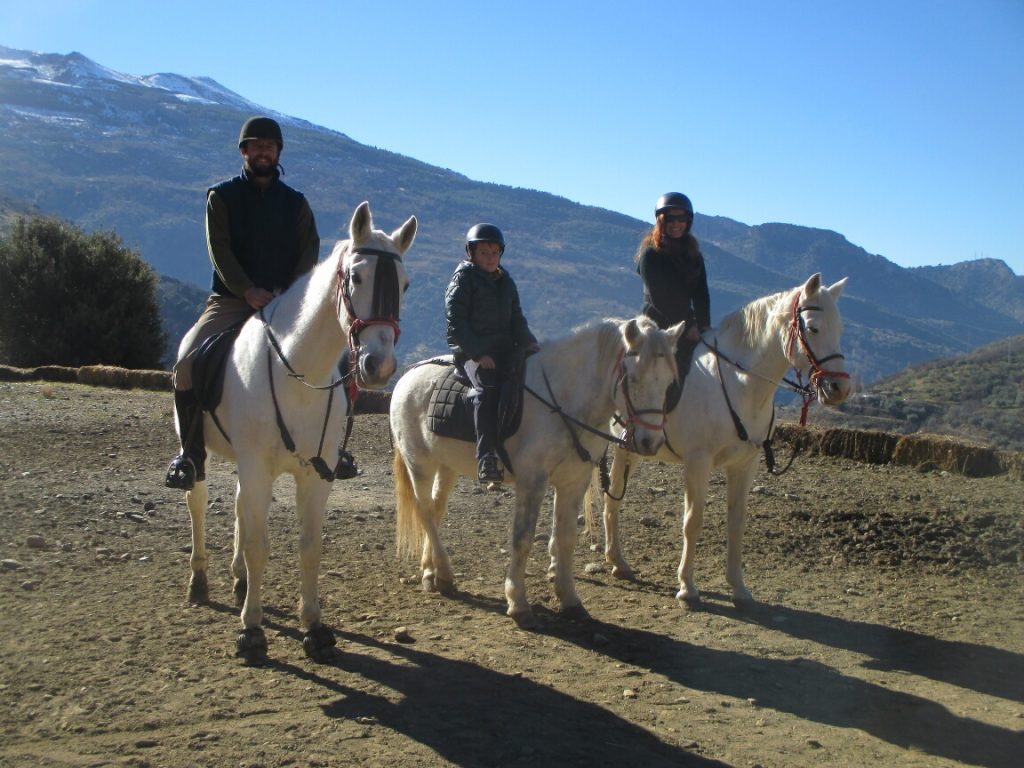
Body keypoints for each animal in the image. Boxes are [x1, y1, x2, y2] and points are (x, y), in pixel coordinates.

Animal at [180, 201, 415, 663]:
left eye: (405, 285)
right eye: (356, 277)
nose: (378, 366)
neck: (300, 374)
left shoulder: (316, 475)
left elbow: (309, 547)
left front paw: (315, 627)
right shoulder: (257, 467)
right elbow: (259, 545)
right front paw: (251, 631)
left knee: (239, 506)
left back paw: (238, 580)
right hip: (198, 446)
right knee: (197, 498)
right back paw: (200, 581)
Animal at [391, 315, 688, 626]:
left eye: (669, 382)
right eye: (633, 379)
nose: (650, 441)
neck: (562, 400)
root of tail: (407, 378)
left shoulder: (573, 481)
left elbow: (565, 539)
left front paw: (570, 600)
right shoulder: (532, 481)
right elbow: (522, 538)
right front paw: (518, 603)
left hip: (446, 466)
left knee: (436, 511)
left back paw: (431, 571)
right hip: (419, 464)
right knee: (425, 512)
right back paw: (444, 574)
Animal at [593, 274, 847, 606]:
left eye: (839, 330)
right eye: (814, 328)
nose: (839, 388)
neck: (741, 383)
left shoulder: (745, 464)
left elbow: (736, 523)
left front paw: (739, 587)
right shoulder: (698, 463)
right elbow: (692, 522)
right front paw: (687, 586)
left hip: (635, 448)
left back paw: (618, 562)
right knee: (610, 498)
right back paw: (614, 561)